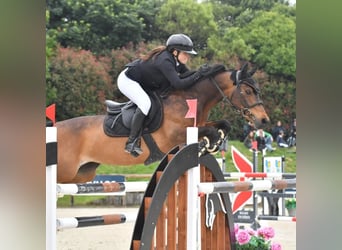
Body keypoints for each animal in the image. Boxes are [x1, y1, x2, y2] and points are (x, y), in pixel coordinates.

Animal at [55, 62, 270, 184]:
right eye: (248, 91)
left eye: (258, 91)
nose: (264, 120)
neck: (189, 98)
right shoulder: (177, 135)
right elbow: (209, 130)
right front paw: (209, 144)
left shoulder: (199, 123)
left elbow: (222, 124)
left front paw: (212, 144)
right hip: (66, 171)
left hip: (82, 173)